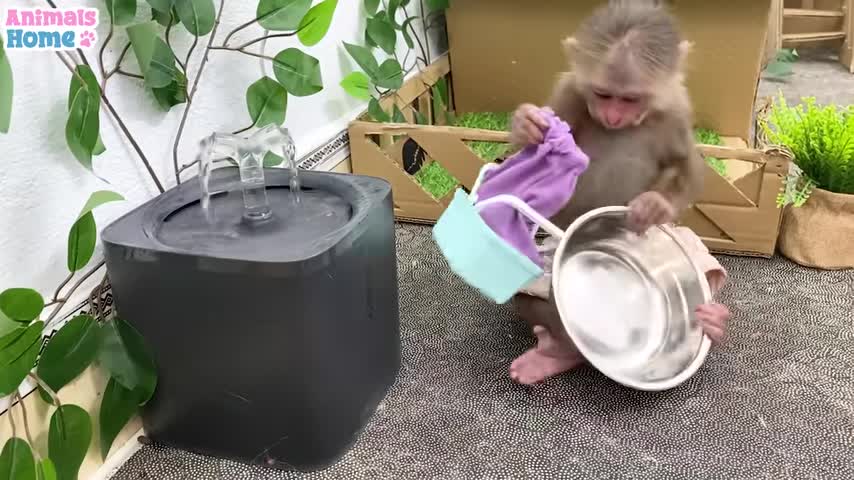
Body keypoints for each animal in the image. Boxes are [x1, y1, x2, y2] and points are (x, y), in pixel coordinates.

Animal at [508, 0, 736, 382]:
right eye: (603, 94)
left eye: (630, 99)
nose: (613, 116)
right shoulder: (570, 92)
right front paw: (526, 125)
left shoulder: (677, 109)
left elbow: (688, 166)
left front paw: (655, 205)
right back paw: (558, 352)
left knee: (704, 264)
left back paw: (713, 320)